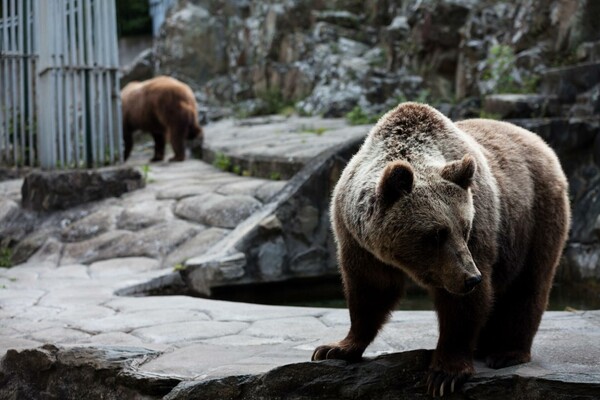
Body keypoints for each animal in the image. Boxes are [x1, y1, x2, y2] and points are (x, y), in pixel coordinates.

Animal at [314, 102, 572, 396]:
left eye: (465, 227)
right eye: (436, 233)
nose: (472, 278)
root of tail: (539, 141)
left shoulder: (479, 230)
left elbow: (463, 305)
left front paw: (444, 374)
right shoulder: (357, 240)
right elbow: (369, 290)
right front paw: (335, 348)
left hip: (535, 216)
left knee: (528, 284)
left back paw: (506, 352)